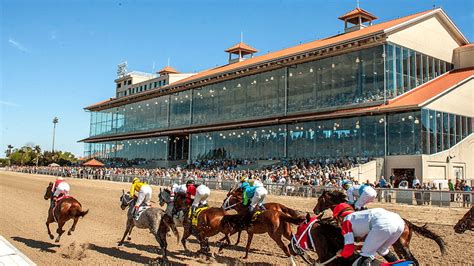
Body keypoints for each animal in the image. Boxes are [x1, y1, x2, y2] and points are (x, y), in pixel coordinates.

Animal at [312, 189, 446, 264]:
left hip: (402, 245)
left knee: (413, 259)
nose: (314, 210)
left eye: (319, 200)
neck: (346, 211)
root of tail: (407, 223)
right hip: (398, 245)